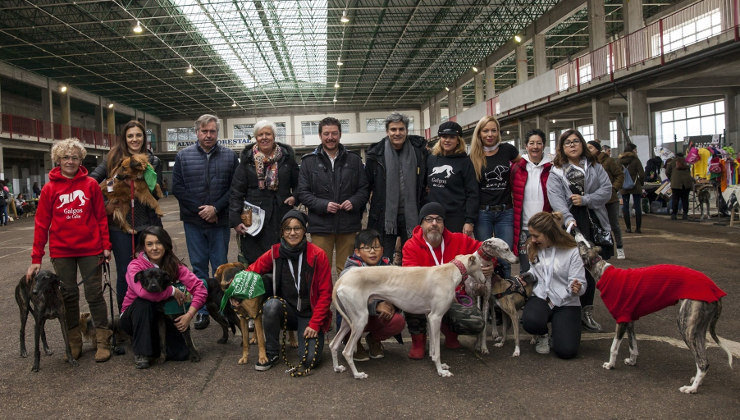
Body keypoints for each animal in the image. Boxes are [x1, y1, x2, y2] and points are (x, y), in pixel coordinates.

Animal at [576, 241, 732, 396]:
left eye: (582, 246)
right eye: (586, 244)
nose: (578, 239)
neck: (603, 272)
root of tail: (715, 291)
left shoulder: (621, 320)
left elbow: (614, 347)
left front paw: (610, 364)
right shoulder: (630, 320)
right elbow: (633, 346)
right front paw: (632, 361)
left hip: (686, 325)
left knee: (702, 361)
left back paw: (692, 388)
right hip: (698, 329)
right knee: (704, 359)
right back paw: (696, 381)